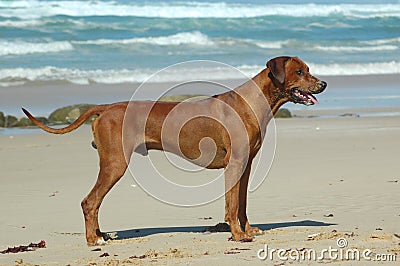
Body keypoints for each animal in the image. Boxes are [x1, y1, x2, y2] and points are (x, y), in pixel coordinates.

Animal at [23, 56, 326, 245]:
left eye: (308, 69)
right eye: (299, 72)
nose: (323, 84)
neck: (254, 100)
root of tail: (106, 108)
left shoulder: (246, 165)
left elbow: (242, 203)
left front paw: (247, 229)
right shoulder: (235, 164)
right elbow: (231, 205)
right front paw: (238, 235)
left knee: (94, 202)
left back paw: (102, 234)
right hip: (115, 163)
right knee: (90, 201)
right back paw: (93, 239)